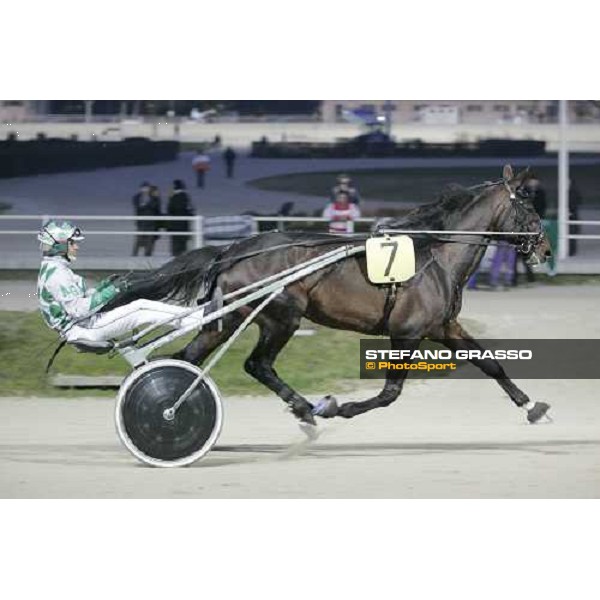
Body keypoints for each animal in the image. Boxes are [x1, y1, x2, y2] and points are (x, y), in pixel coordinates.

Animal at [109, 164, 552, 426]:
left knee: (187, 358)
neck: (438, 256)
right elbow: (390, 393)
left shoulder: (444, 327)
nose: (547, 250)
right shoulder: (406, 333)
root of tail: (233, 249)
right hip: (283, 315)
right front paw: (340, 407)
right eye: (530, 209)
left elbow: (491, 364)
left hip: (229, 319)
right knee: (257, 364)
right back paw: (305, 407)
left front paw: (532, 407)